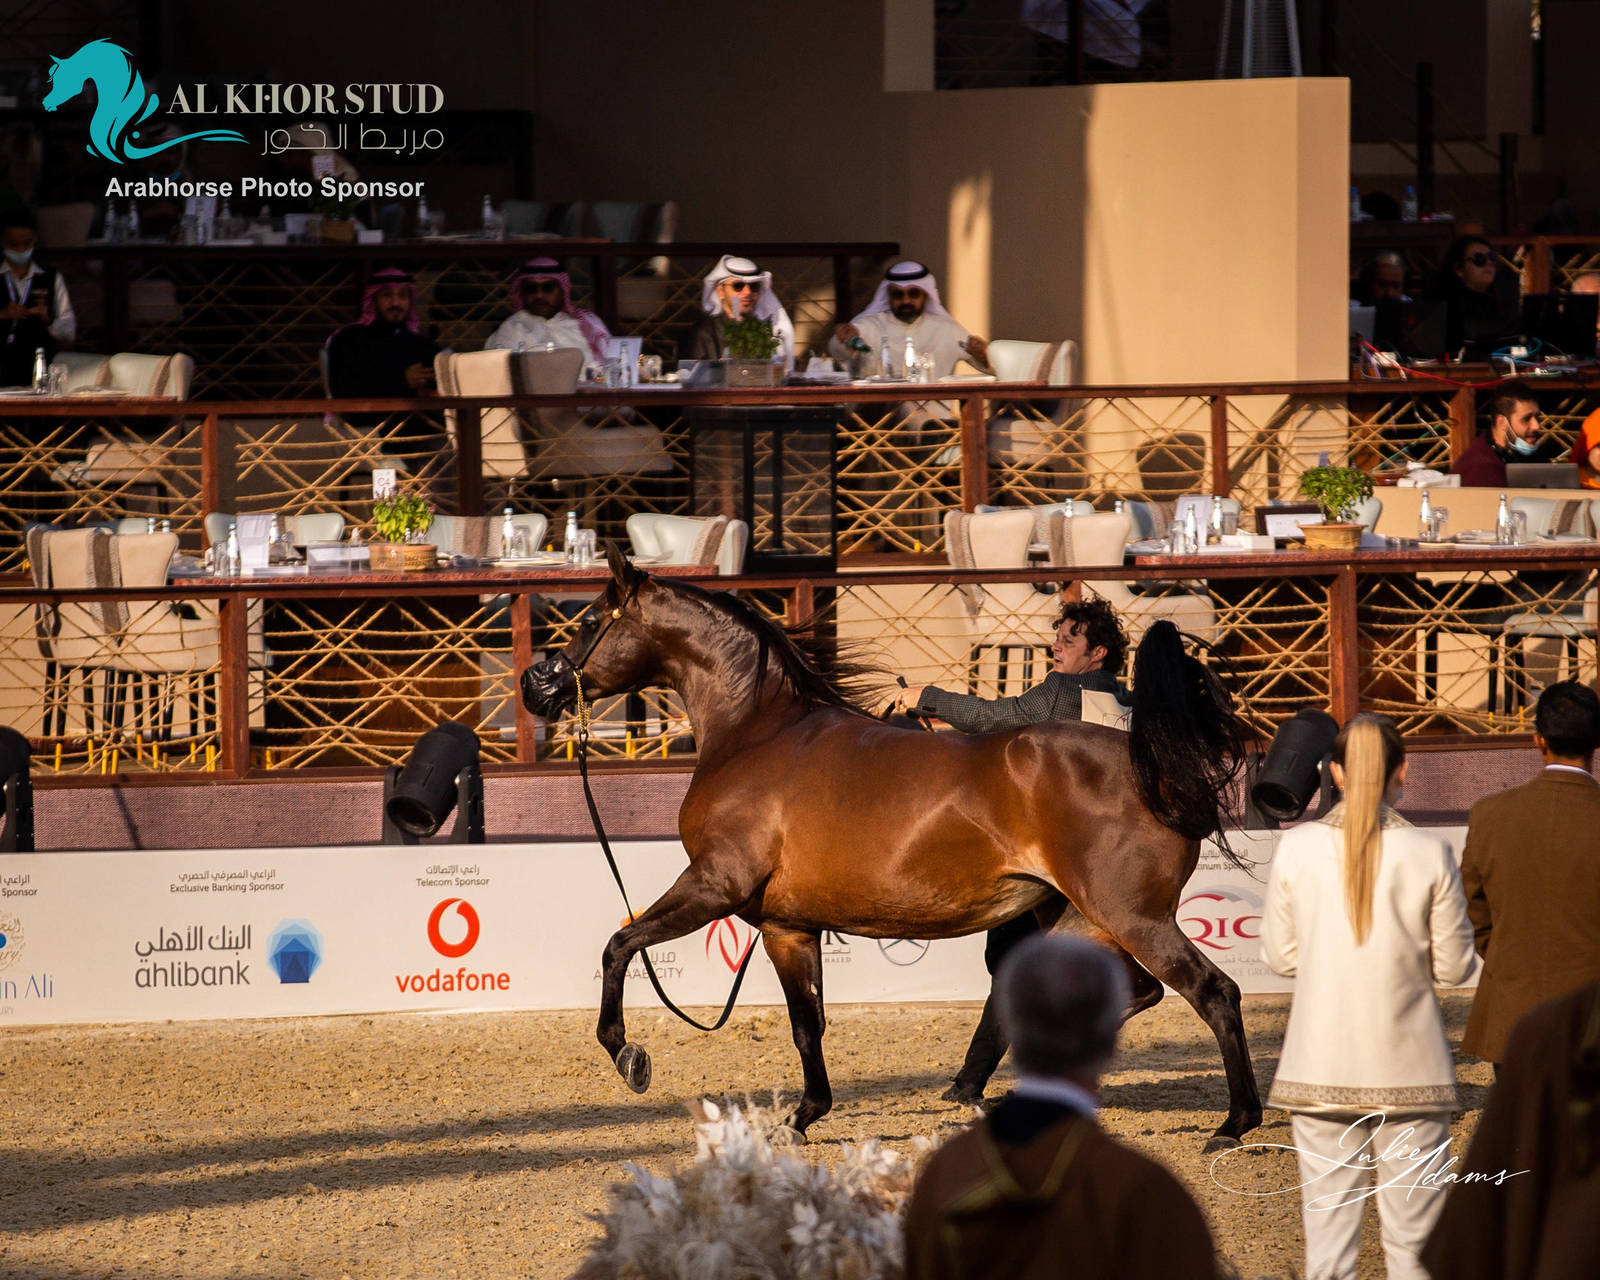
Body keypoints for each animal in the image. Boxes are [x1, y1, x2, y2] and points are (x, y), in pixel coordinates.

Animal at [521, 548, 1263, 1149]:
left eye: (590, 620)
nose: (535, 687)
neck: (759, 734)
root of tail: (1154, 767)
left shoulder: (715, 886)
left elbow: (619, 945)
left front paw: (628, 1055)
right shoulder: (787, 925)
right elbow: (807, 1025)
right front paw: (803, 1117)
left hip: (1131, 918)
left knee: (1215, 992)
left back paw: (1235, 1124)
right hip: (1079, 920)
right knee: (1129, 993)